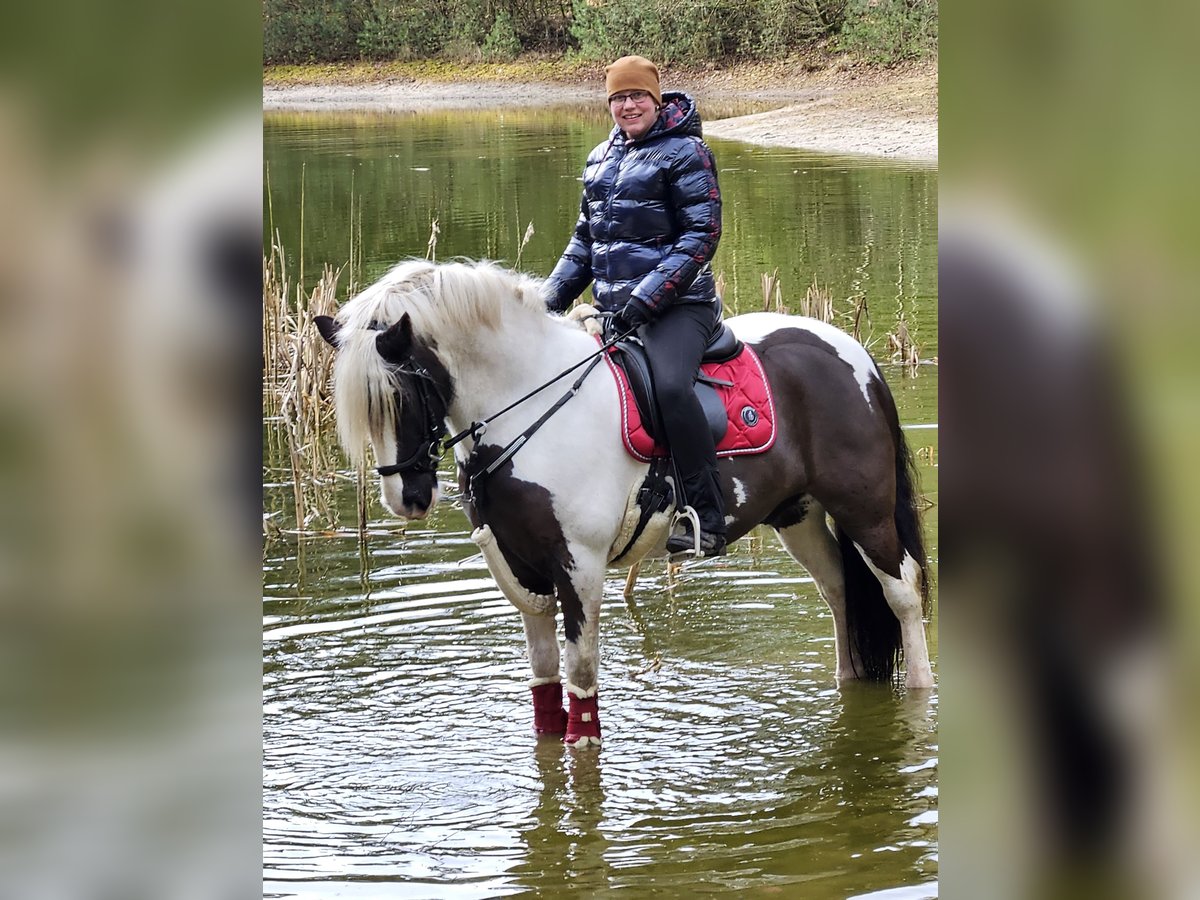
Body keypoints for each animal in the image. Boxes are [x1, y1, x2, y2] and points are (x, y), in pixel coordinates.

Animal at [314, 259, 931, 748]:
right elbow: (545, 687)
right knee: (841, 593)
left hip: (864, 509)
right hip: (798, 514)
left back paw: (921, 697)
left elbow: (582, 679)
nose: (407, 498)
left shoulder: (580, 565)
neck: (528, 407)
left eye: (401, 393)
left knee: (901, 593)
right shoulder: (522, 570)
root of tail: (855, 355)